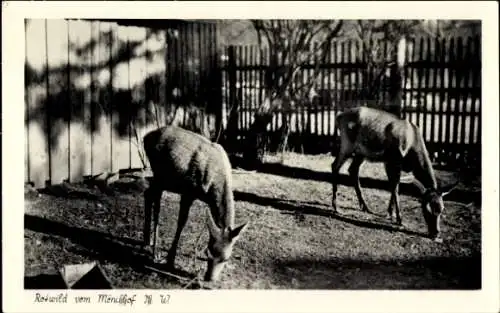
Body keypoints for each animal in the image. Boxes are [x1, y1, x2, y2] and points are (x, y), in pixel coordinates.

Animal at [143, 125, 248, 282]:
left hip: (164, 180)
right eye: (207, 253)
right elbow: (181, 222)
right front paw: (170, 261)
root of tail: (146, 137)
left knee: (148, 193)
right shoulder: (188, 192)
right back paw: (153, 249)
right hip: (159, 173)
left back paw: (147, 241)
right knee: (155, 201)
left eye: (226, 259)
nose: (210, 278)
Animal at [332, 106, 458, 240]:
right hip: (347, 144)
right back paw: (336, 206)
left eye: (442, 209)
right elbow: (396, 187)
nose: (435, 233)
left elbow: (393, 186)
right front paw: (399, 219)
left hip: (361, 152)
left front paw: (390, 213)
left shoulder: (390, 163)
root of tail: (339, 117)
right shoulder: (393, 160)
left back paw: (365, 207)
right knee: (335, 166)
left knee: (352, 169)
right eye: (425, 209)